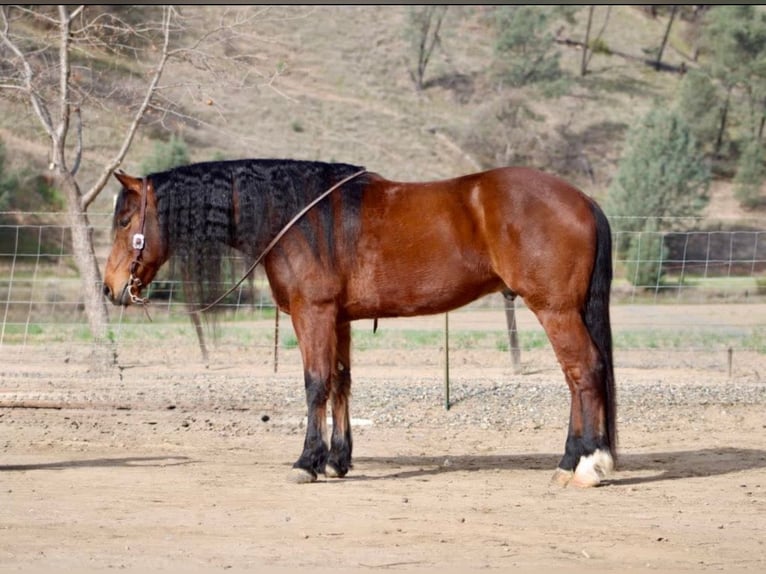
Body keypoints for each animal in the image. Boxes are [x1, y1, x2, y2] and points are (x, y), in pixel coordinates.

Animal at [103, 159, 616, 490]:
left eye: (125, 220)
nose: (111, 288)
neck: (297, 217)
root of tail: (583, 200)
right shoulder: (339, 318)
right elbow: (340, 382)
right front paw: (337, 460)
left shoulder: (313, 313)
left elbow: (315, 384)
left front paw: (307, 462)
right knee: (579, 378)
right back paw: (574, 459)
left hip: (554, 310)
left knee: (584, 372)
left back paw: (587, 464)